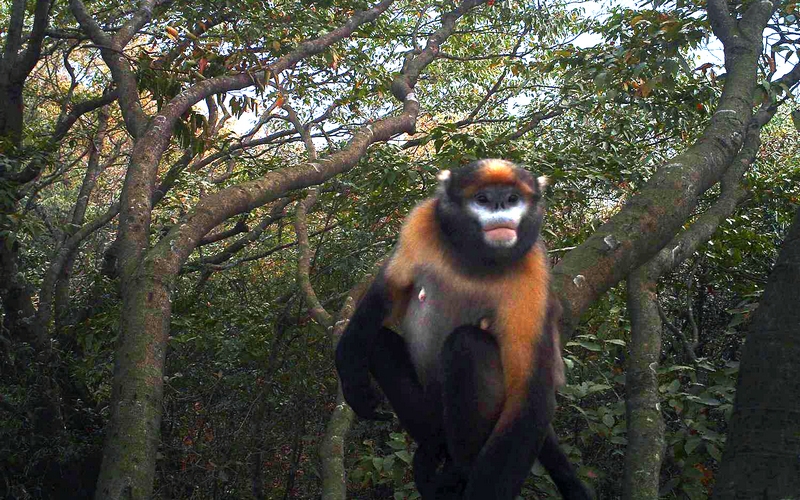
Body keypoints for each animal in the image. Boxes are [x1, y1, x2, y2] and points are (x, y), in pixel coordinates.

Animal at [334, 159, 592, 500]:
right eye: (482, 199)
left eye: (512, 199)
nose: (499, 206)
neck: (475, 260)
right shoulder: (421, 223)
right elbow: (385, 293)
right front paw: (352, 377)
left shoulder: (533, 272)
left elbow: (532, 395)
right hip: (432, 406)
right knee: (378, 343)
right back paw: (433, 445)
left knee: (467, 344)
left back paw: (459, 470)